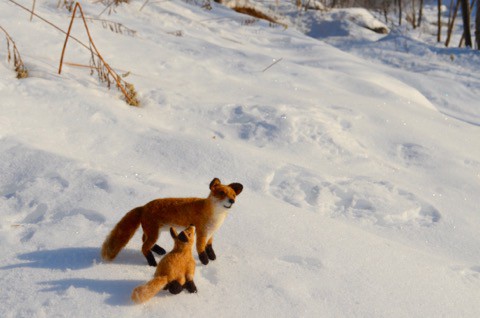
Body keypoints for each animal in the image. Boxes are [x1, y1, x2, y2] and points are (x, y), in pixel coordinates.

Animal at [101, 179, 244, 266]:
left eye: (233, 195)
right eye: (222, 193)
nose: (232, 201)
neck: (216, 217)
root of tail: (143, 207)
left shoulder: (211, 233)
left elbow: (209, 247)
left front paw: (213, 257)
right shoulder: (202, 232)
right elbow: (201, 249)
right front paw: (205, 262)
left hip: (154, 231)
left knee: (143, 239)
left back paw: (159, 250)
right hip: (154, 233)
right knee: (143, 247)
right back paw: (152, 263)